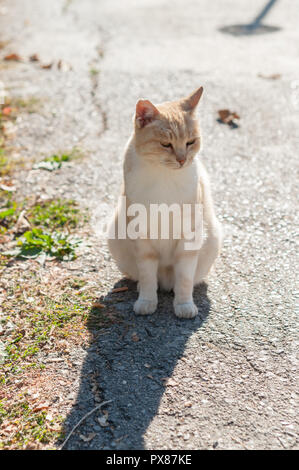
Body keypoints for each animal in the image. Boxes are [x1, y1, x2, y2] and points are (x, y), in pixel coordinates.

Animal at [108, 86, 223, 318]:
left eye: (190, 142)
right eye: (166, 145)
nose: (182, 160)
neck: (165, 177)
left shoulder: (189, 237)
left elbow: (185, 280)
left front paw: (184, 305)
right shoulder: (142, 238)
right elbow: (147, 276)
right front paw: (147, 301)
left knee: (184, 281)